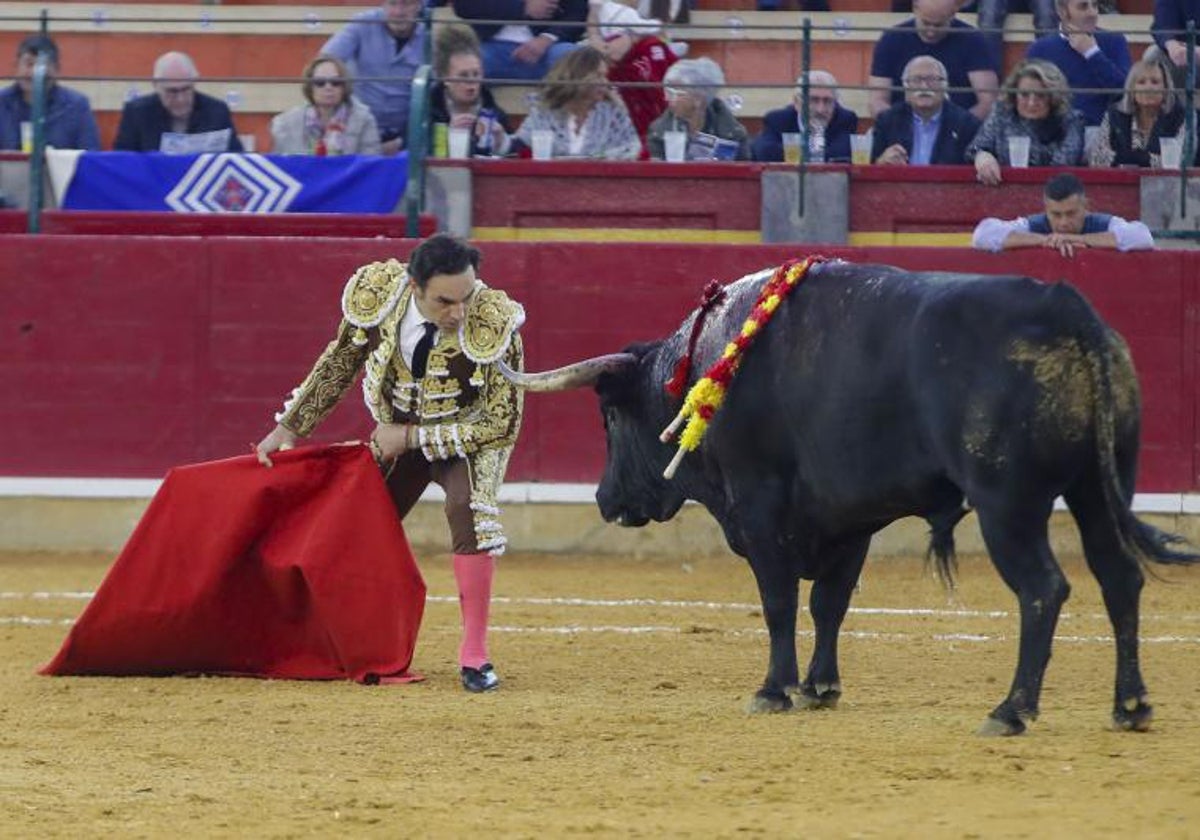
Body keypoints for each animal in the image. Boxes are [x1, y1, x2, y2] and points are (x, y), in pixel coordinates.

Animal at [501, 260, 1195, 734]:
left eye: (610, 418)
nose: (604, 499)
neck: (708, 365)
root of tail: (1067, 309)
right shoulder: (852, 519)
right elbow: (828, 604)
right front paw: (820, 687)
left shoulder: (761, 509)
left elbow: (779, 602)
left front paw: (774, 689)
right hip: (1097, 489)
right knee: (1119, 577)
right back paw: (1130, 705)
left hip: (1009, 504)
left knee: (1044, 588)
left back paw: (1012, 709)